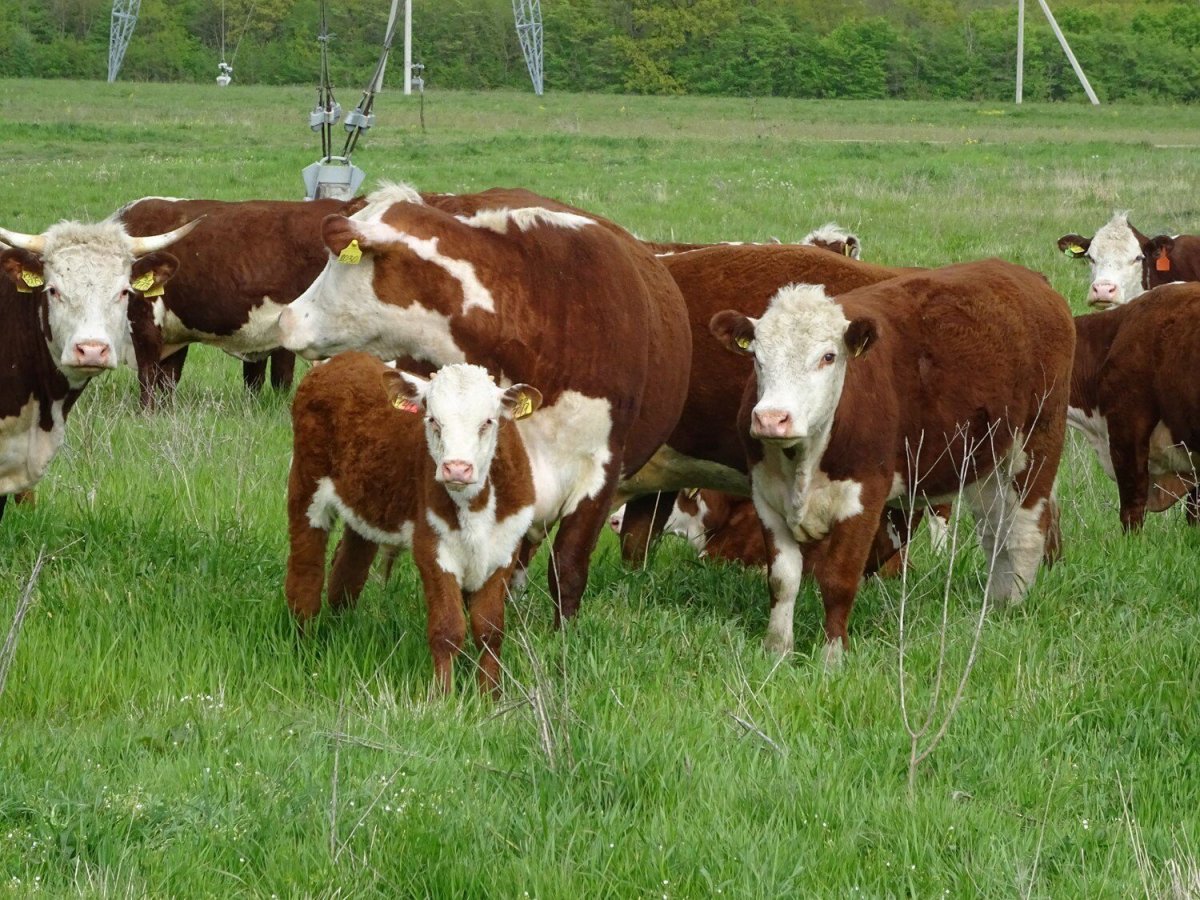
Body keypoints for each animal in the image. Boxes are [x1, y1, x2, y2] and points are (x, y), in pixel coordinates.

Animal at [112, 196, 360, 406]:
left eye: (123, 288)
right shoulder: (175, 330)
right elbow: (168, 380)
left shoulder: (144, 322)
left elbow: (148, 376)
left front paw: (146, 415)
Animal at [286, 352, 540, 694]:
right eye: (432, 419)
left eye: (487, 422)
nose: (456, 468)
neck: (474, 506)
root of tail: (343, 358)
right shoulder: (432, 547)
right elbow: (448, 628)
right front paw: (444, 697)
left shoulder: (505, 549)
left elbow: (489, 629)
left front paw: (490, 695)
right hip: (305, 480)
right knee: (306, 570)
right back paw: (303, 642)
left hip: (367, 503)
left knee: (347, 572)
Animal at [710, 260, 1073, 665]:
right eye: (757, 357)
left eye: (828, 357)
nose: (772, 418)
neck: (802, 463)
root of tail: (1024, 276)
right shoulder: (765, 496)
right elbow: (782, 579)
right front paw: (777, 650)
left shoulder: (865, 497)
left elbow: (839, 579)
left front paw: (833, 657)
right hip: (987, 463)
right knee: (997, 534)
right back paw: (994, 604)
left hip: (1036, 444)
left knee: (1024, 533)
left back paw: (1014, 607)